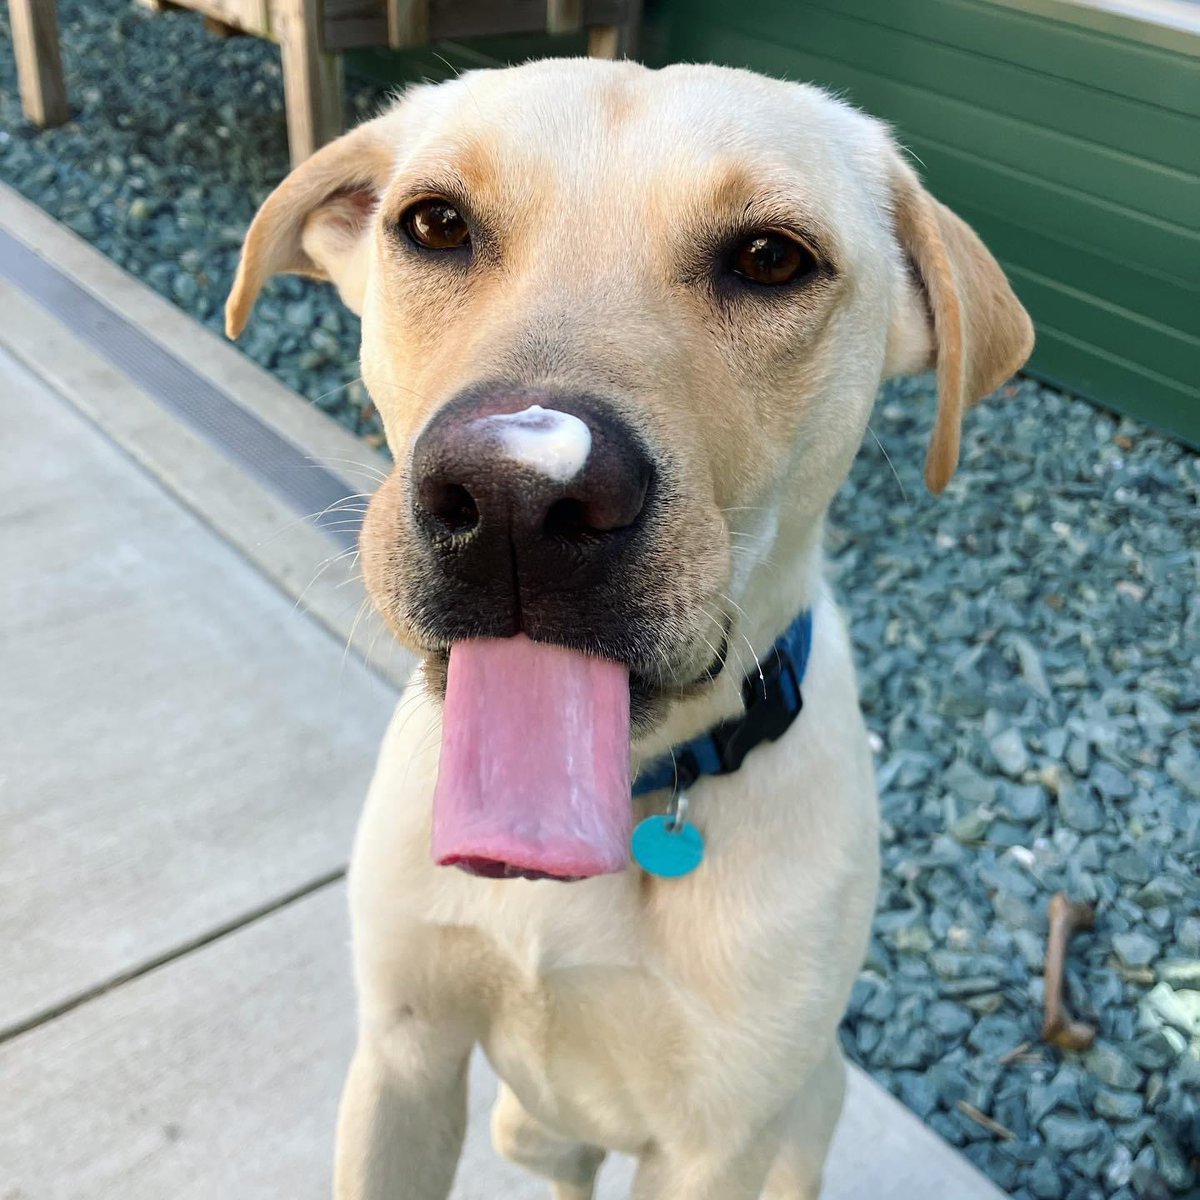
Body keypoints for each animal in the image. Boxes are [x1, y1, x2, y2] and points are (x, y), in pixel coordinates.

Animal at [225, 58, 1032, 1200]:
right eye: (435, 224)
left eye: (770, 258)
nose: (515, 497)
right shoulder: (402, 1057)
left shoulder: (716, 1141)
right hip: (525, 1128)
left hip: (803, 1119)